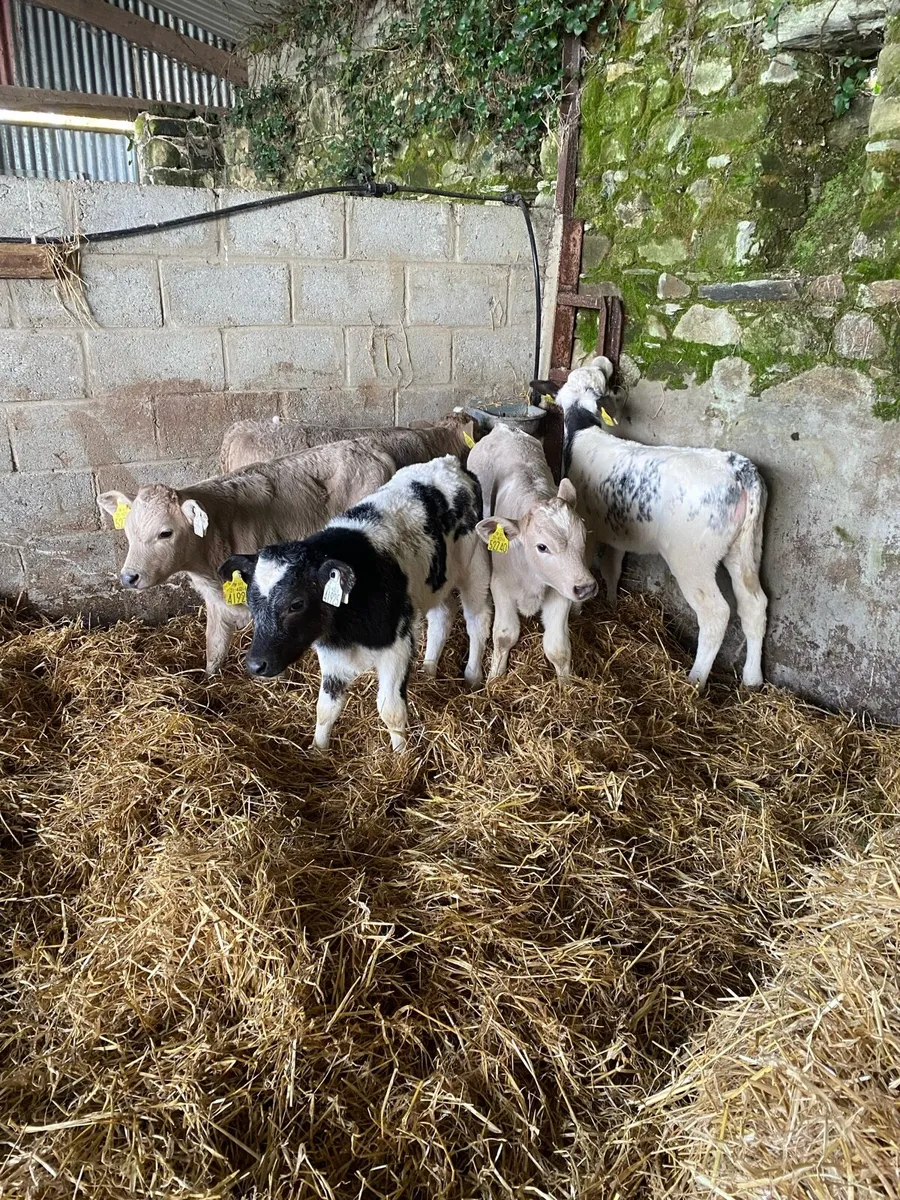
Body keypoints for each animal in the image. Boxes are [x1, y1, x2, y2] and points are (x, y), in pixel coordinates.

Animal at [98, 437, 407, 675]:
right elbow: (214, 646)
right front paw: (209, 681)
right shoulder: (215, 603)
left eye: (165, 533)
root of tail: (368, 446)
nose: (129, 577)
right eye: (128, 531)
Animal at [219, 455, 492, 753]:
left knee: (478, 620)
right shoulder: (331, 655)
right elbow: (326, 708)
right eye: (250, 601)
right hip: (435, 582)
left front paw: (402, 756)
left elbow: (390, 709)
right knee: (442, 616)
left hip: (475, 564)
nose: (256, 664)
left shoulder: (397, 646)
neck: (346, 631)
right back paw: (429, 669)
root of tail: (449, 463)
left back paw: (473, 676)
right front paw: (318, 750)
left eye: (296, 604)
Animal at [467, 423, 597, 681]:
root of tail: (503, 428)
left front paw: (566, 685)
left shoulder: (560, 590)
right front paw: (494, 678)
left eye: (583, 537)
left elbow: (557, 647)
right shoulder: (501, 586)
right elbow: (504, 636)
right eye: (542, 546)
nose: (586, 587)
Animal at [556, 355, 768, 690]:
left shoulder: (586, 529)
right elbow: (612, 569)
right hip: (747, 549)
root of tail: (738, 469)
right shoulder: (617, 535)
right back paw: (752, 679)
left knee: (716, 613)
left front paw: (578, 611)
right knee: (754, 604)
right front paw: (613, 604)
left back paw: (695, 681)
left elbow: (586, 566)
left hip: (692, 559)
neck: (582, 432)